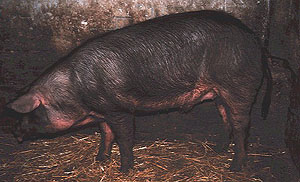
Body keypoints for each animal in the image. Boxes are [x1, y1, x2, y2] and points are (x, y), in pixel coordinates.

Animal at [5, 9, 274, 172]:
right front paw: (100, 159)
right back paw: (219, 150)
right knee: (226, 118)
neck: (74, 91)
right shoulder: (103, 113)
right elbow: (106, 135)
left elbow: (124, 138)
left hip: (238, 85)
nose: (13, 132)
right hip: (220, 93)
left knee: (241, 125)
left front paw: (124, 169)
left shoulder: (119, 109)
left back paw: (235, 167)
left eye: (28, 113)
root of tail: (256, 42)